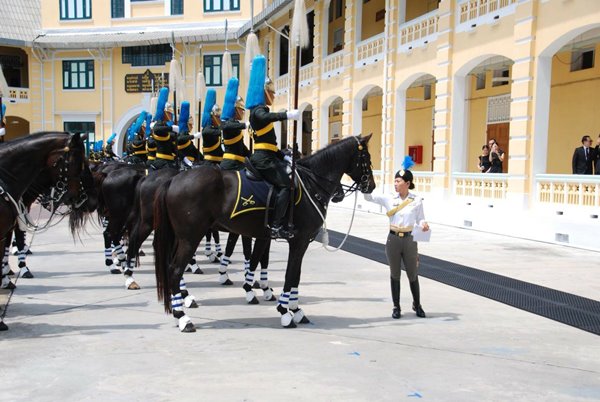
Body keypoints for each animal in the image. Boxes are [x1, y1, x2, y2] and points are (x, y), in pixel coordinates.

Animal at [152, 135, 372, 332]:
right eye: (366, 158)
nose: (371, 185)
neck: (310, 184)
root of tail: (173, 180)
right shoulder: (298, 241)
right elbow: (289, 274)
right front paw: (285, 311)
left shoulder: (272, 237)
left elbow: (282, 270)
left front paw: (291, 307)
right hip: (190, 238)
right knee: (175, 270)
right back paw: (183, 316)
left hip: (181, 237)